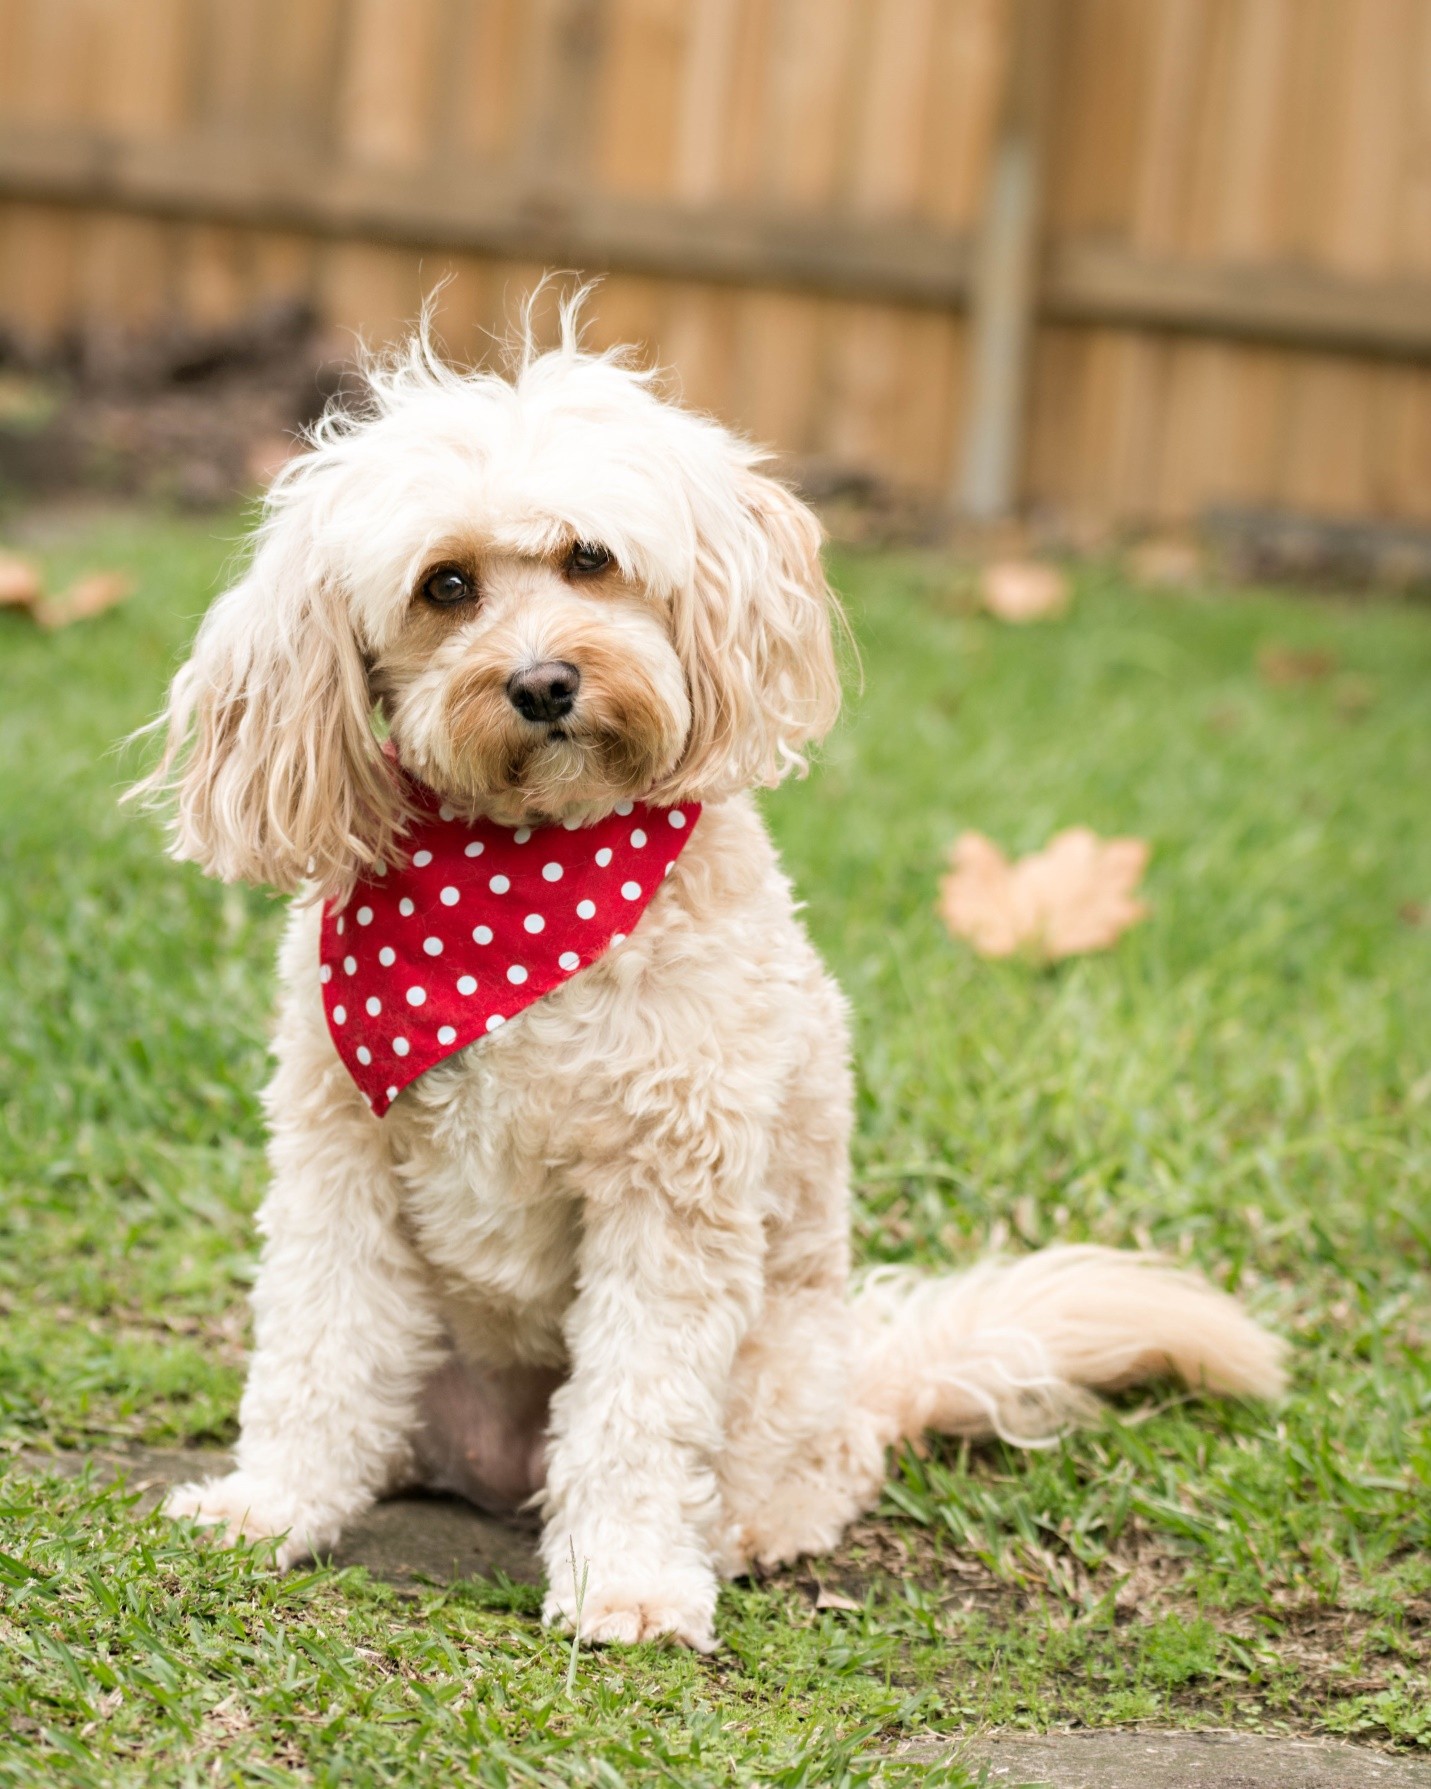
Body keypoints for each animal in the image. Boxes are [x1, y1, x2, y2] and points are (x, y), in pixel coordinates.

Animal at [134, 304, 1287, 1645]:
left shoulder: (669, 1191)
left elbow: (638, 1410)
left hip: (782, 1383)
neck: (525, 880)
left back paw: (738, 1532)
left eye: (591, 559)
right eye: (446, 585)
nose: (543, 682)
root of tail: (868, 1377)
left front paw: (628, 1582)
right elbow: (316, 1352)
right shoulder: (339, 1160)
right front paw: (271, 1505)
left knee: (801, 1474)